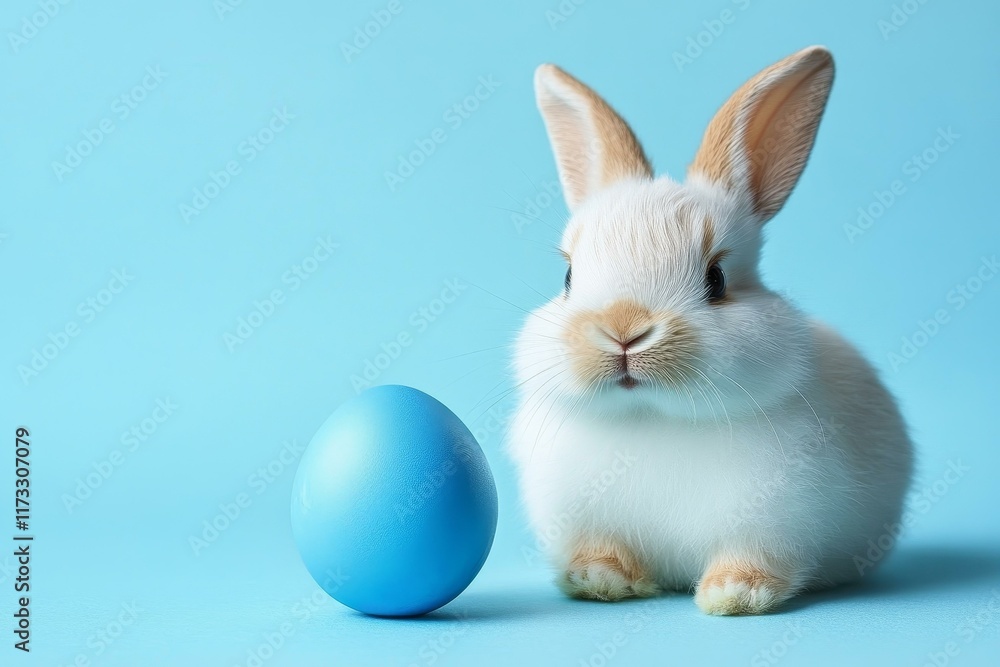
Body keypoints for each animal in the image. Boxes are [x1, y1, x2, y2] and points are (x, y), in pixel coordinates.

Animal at [507, 46, 913, 615]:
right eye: (567, 278)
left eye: (716, 279)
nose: (623, 331)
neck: (653, 418)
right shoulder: (585, 520)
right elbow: (603, 551)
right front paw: (600, 581)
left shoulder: (771, 523)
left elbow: (753, 558)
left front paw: (734, 594)